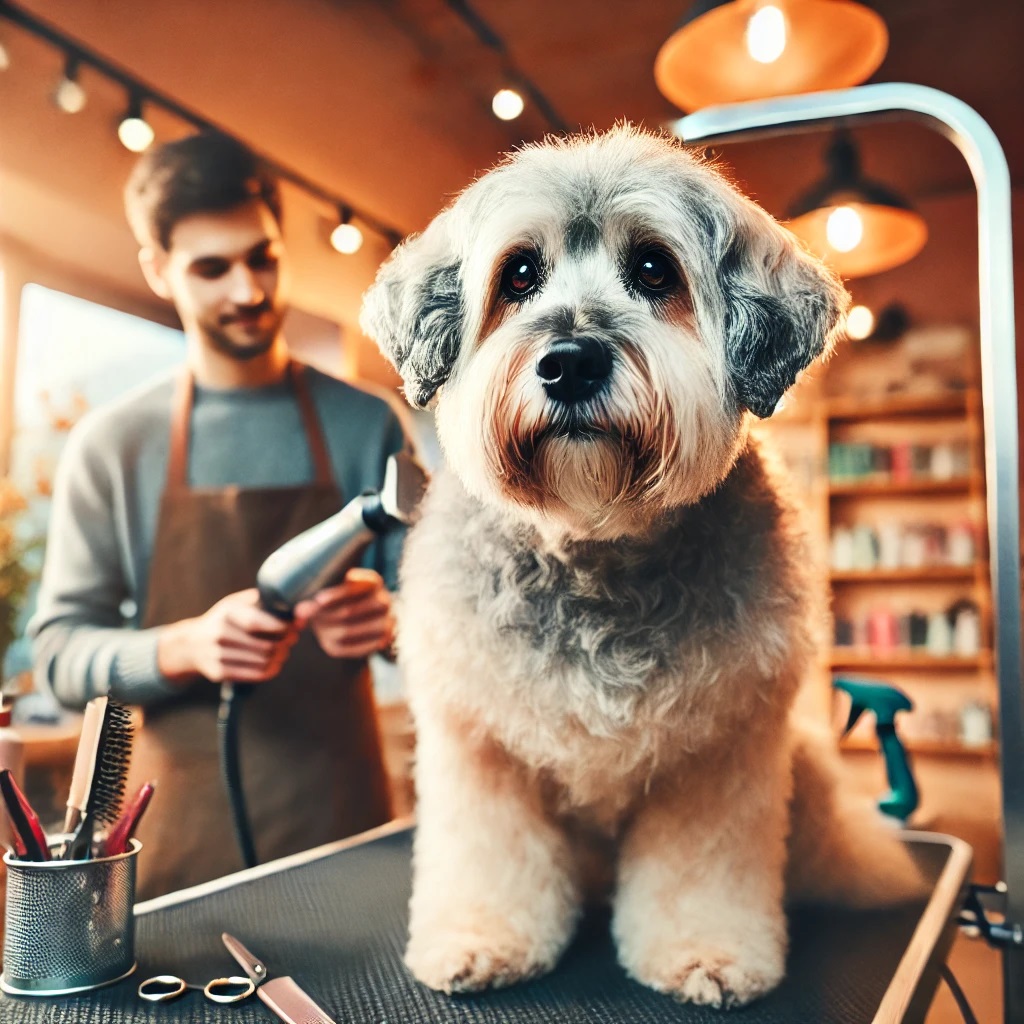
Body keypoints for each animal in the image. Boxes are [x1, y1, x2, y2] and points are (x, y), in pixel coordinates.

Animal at [358, 125, 921, 1007]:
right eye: (520, 273)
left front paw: (706, 951)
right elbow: (489, 856)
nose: (571, 361)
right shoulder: (482, 752)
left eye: (654, 269)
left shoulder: (717, 757)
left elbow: (701, 871)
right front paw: (483, 938)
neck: (596, 544)